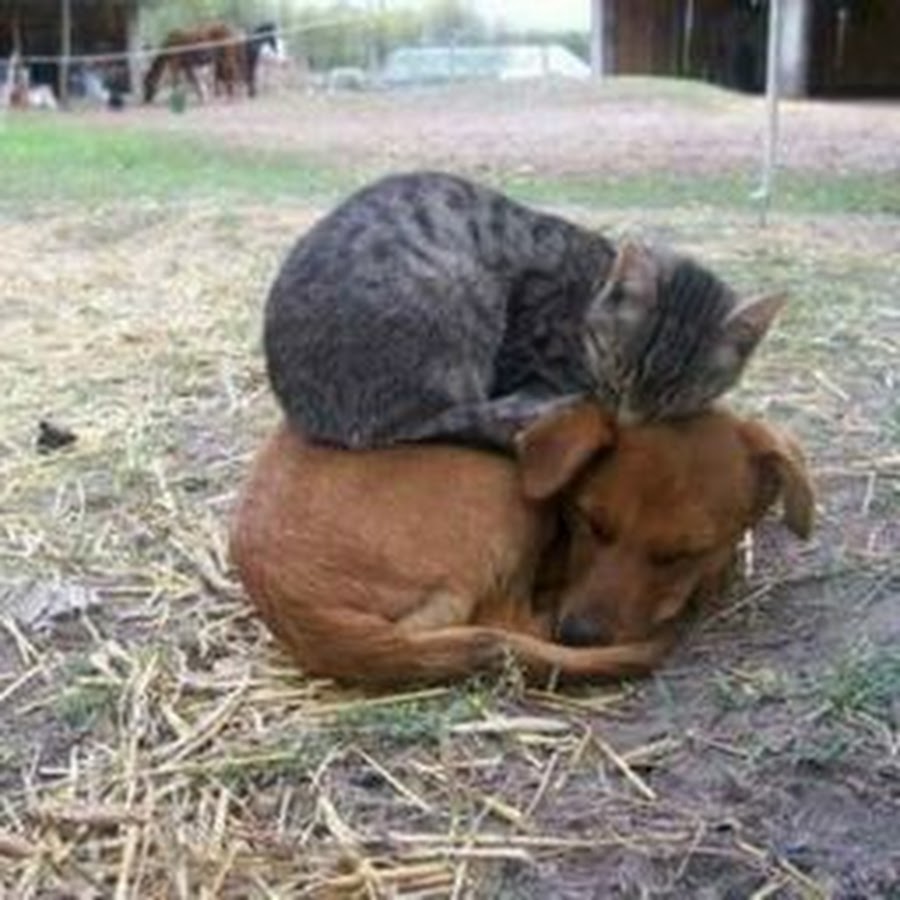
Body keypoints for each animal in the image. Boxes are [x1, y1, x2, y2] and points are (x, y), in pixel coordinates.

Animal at [230, 403, 814, 686]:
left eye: (680, 555)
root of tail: (297, 605)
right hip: (500, 486)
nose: (579, 635)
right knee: (507, 621)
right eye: (589, 521)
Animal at [264, 171, 784, 450]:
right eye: (617, 372)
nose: (629, 422)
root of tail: (305, 409)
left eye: (676, 396)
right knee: (422, 425)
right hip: (459, 293)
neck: (589, 293)